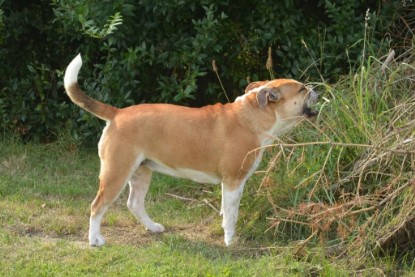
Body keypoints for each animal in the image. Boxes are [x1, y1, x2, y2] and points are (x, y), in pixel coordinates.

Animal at [64, 54, 318, 246]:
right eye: (301, 89)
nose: (315, 89)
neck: (251, 116)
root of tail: (118, 113)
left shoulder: (231, 184)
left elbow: (227, 209)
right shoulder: (234, 180)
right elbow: (232, 214)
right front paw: (230, 239)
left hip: (141, 171)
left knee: (134, 203)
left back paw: (153, 227)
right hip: (116, 172)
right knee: (97, 206)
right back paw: (95, 239)